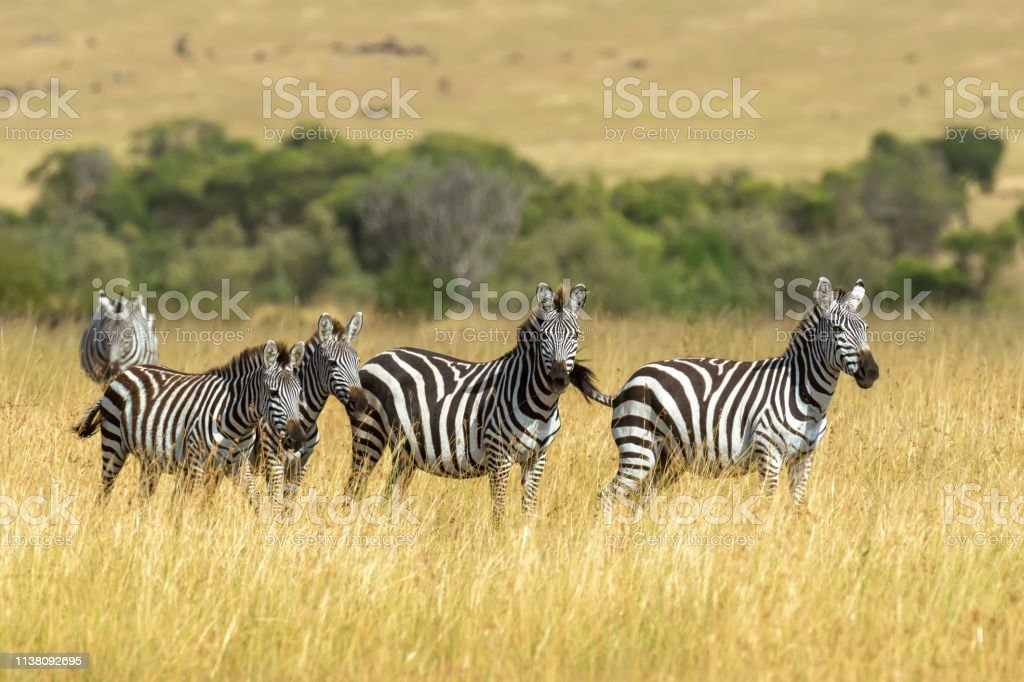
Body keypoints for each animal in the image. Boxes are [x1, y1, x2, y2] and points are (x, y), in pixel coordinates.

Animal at [72, 337, 307, 501]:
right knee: (105, 490)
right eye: (274, 393)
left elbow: (254, 500)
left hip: (150, 460)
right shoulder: (197, 464)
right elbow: (191, 503)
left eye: (299, 392)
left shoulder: (237, 466)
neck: (237, 424)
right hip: (113, 445)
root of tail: (126, 372)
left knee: (141, 498)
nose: (297, 439)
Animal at [251, 309, 368, 503]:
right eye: (332, 363)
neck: (303, 419)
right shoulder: (273, 461)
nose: (361, 403)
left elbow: (288, 501)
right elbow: (276, 499)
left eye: (357, 361)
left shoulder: (302, 464)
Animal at [344, 278, 614, 522]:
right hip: (369, 433)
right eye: (544, 337)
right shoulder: (499, 455)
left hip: (405, 450)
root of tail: (380, 356)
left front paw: (527, 540)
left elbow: (529, 509)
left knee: (392, 493)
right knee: (355, 488)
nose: (559, 379)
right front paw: (501, 541)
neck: (541, 408)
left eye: (576, 335)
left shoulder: (538, 457)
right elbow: (499, 512)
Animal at [598, 276, 880, 509]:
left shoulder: (804, 457)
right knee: (608, 495)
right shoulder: (769, 453)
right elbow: (768, 504)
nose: (871, 372)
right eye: (837, 329)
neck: (808, 398)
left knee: (640, 498)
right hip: (638, 446)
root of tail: (627, 384)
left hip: (667, 458)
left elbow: (797, 505)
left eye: (865, 328)